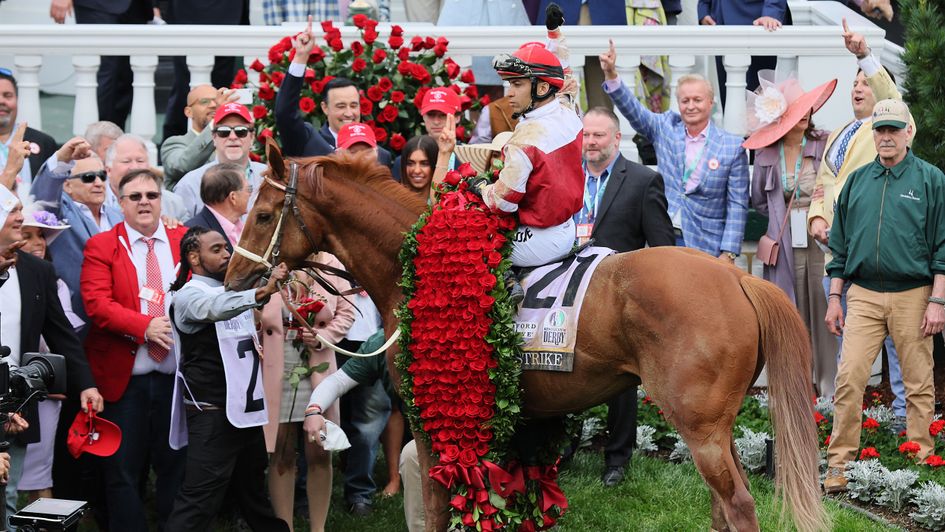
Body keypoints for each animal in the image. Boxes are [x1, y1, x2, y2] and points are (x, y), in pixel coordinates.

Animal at [223, 147, 824, 532]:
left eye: (263, 213)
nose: (233, 277)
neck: (412, 265)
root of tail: (737, 277)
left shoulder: (429, 415)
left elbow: (440, 504)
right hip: (717, 429)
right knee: (724, 509)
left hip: (699, 428)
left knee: (739, 506)